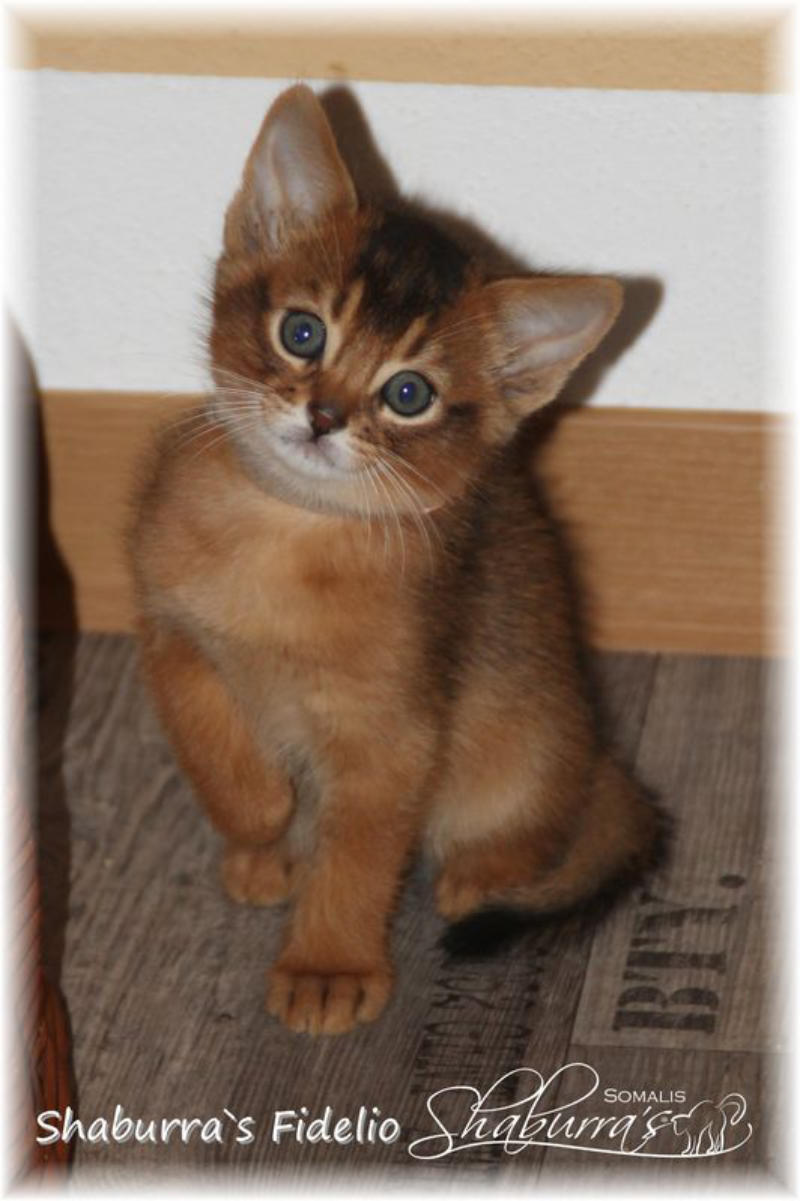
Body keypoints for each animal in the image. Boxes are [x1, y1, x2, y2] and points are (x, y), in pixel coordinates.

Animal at [128, 84, 658, 1036]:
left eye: (408, 394)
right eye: (303, 333)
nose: (324, 416)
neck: (281, 537)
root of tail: (598, 749)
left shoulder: (391, 736)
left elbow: (360, 857)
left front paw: (328, 967)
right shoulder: (165, 625)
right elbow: (205, 731)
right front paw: (259, 812)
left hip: (517, 744)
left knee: (534, 822)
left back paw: (480, 872)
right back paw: (268, 856)